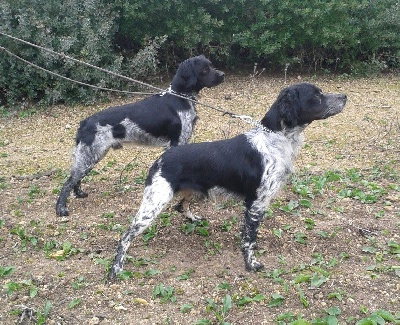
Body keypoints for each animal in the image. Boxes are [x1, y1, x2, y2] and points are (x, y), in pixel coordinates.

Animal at [56, 54, 225, 216]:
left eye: (210, 65)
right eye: (205, 69)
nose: (222, 74)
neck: (179, 97)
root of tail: (85, 122)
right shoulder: (177, 142)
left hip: (91, 155)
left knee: (75, 178)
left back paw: (79, 194)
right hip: (90, 155)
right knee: (68, 181)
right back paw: (61, 209)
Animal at [108, 83, 346, 278]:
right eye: (316, 96)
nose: (344, 96)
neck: (275, 139)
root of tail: (161, 158)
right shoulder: (255, 204)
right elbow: (249, 240)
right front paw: (250, 264)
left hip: (189, 193)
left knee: (180, 207)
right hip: (153, 204)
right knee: (125, 236)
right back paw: (116, 269)